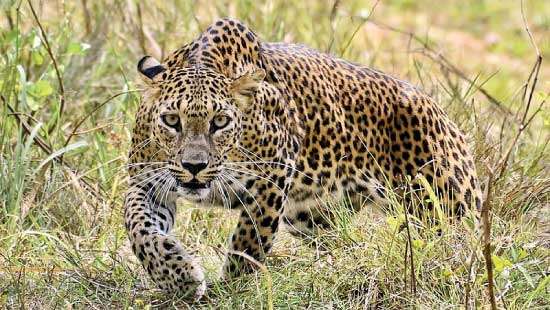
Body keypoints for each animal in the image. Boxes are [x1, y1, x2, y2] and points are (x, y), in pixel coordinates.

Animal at [125, 18, 484, 300]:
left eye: (220, 122)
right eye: (172, 120)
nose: (194, 167)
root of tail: (440, 110)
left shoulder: (271, 181)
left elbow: (248, 243)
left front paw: (228, 290)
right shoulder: (146, 181)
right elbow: (139, 228)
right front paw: (179, 276)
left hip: (447, 206)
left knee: (468, 246)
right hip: (311, 216)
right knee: (343, 243)